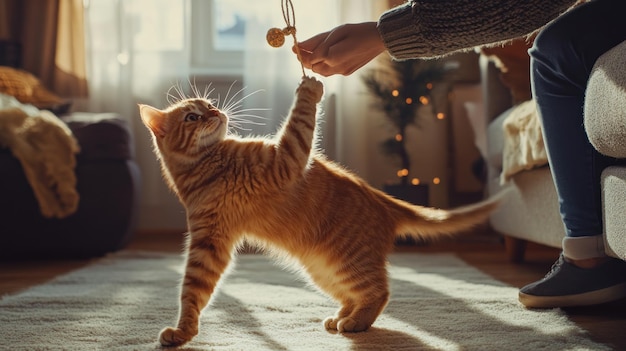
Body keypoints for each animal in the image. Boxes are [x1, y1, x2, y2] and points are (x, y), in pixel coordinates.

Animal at [139, 75, 500, 348]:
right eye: (192, 116)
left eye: (208, 105)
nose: (215, 110)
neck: (212, 166)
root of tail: (381, 198)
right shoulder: (211, 241)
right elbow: (192, 292)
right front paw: (184, 331)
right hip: (330, 268)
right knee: (377, 292)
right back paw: (350, 320)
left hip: (338, 264)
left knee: (374, 290)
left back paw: (349, 319)